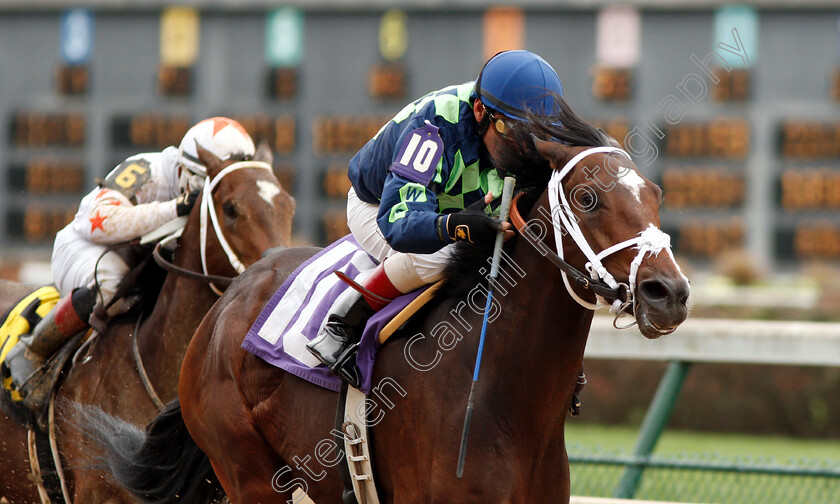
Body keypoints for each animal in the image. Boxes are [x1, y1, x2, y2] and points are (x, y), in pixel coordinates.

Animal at [83, 103, 688, 504]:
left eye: (656, 195)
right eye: (586, 198)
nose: (670, 293)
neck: (504, 395)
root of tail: (225, 304)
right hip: (249, 472)